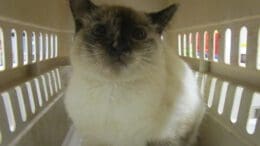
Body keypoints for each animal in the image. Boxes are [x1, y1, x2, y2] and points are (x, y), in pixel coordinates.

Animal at [64, 0, 205, 146]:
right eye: (99, 30)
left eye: (139, 34)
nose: (119, 47)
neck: (113, 88)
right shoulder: (94, 139)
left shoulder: (168, 138)